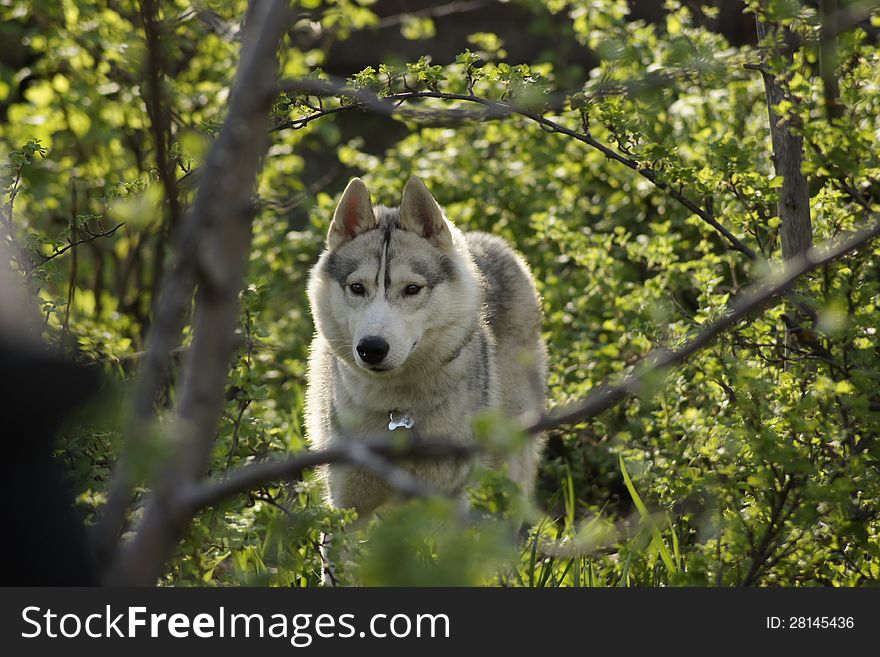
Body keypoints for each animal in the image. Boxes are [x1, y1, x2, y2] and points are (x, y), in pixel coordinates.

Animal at [306, 177, 548, 516]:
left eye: (412, 289)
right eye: (357, 287)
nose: (372, 348)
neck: (397, 409)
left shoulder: (447, 498)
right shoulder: (349, 502)